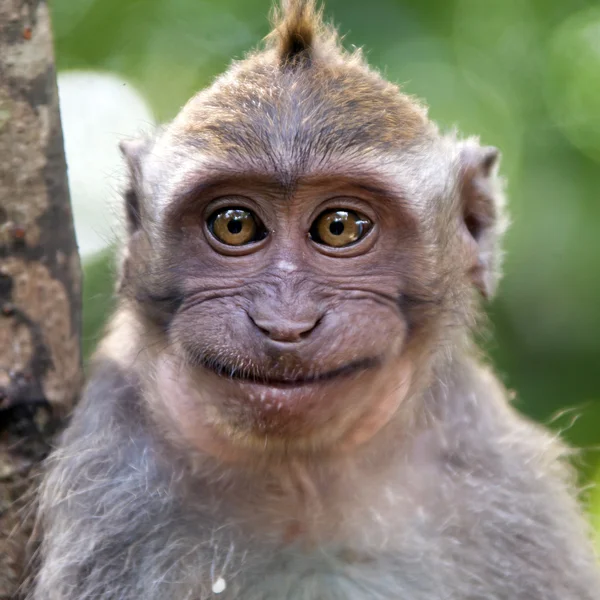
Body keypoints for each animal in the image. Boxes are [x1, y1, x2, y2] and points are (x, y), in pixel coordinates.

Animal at [29, 0, 600, 596]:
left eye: (339, 226)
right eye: (235, 224)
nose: (285, 324)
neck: (302, 477)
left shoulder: (500, 480)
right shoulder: (113, 486)